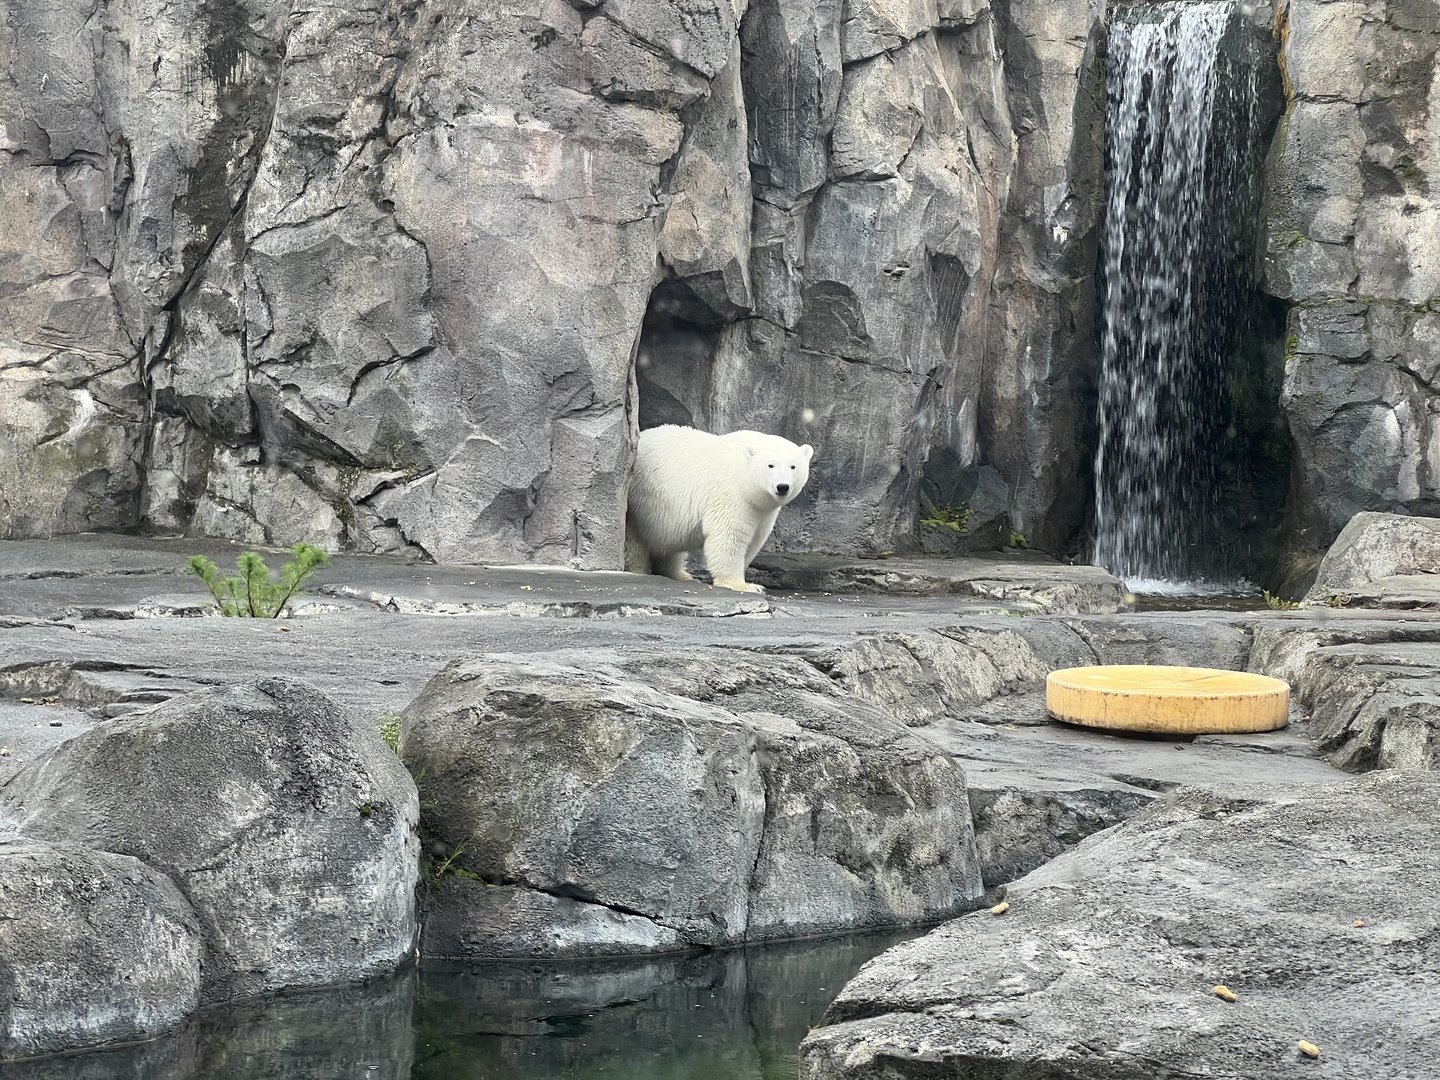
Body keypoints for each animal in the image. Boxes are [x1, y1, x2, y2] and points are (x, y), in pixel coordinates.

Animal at [624, 425, 814, 594]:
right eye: (770, 465)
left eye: (793, 466)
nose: (782, 487)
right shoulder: (730, 495)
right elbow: (730, 536)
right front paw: (744, 585)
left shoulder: (763, 512)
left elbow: (754, 540)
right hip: (638, 500)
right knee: (634, 542)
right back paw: (639, 570)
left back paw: (682, 575)